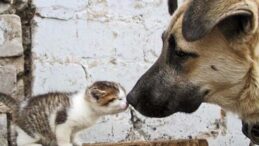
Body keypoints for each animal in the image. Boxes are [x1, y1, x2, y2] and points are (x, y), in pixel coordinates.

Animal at [0, 81, 128, 146]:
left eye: (125, 97)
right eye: (118, 99)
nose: (127, 104)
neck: (87, 107)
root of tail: (19, 106)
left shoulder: (75, 128)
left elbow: (74, 135)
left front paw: (76, 142)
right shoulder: (63, 122)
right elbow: (63, 137)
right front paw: (66, 144)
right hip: (31, 131)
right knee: (21, 142)